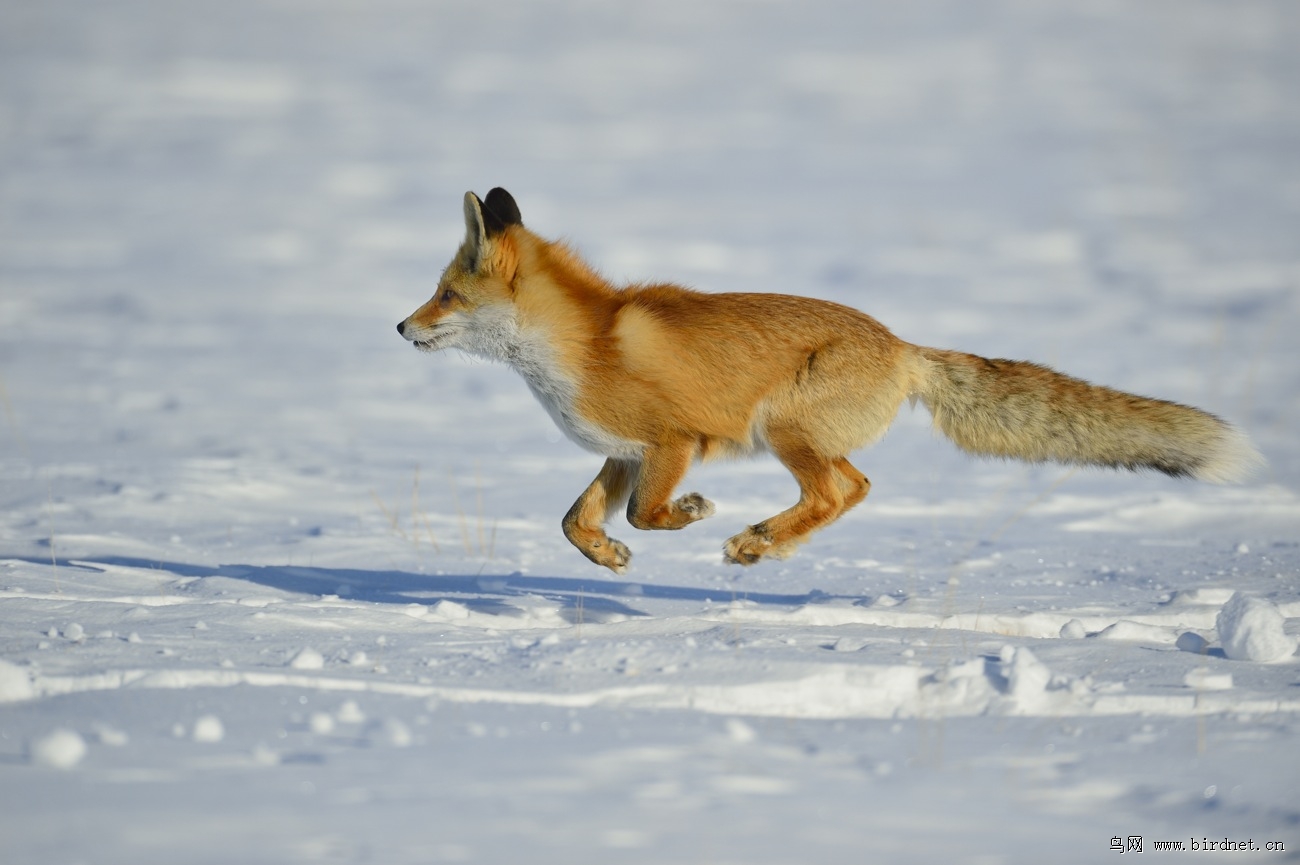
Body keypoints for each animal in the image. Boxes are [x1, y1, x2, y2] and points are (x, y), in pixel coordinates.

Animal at [400, 187, 1263, 572]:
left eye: (444, 295)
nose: (401, 328)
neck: (580, 344)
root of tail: (903, 344)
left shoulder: (675, 440)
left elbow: (649, 513)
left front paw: (690, 516)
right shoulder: (623, 451)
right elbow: (573, 521)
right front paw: (607, 558)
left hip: (781, 428)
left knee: (836, 492)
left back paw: (756, 542)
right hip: (806, 436)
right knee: (859, 486)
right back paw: (766, 541)